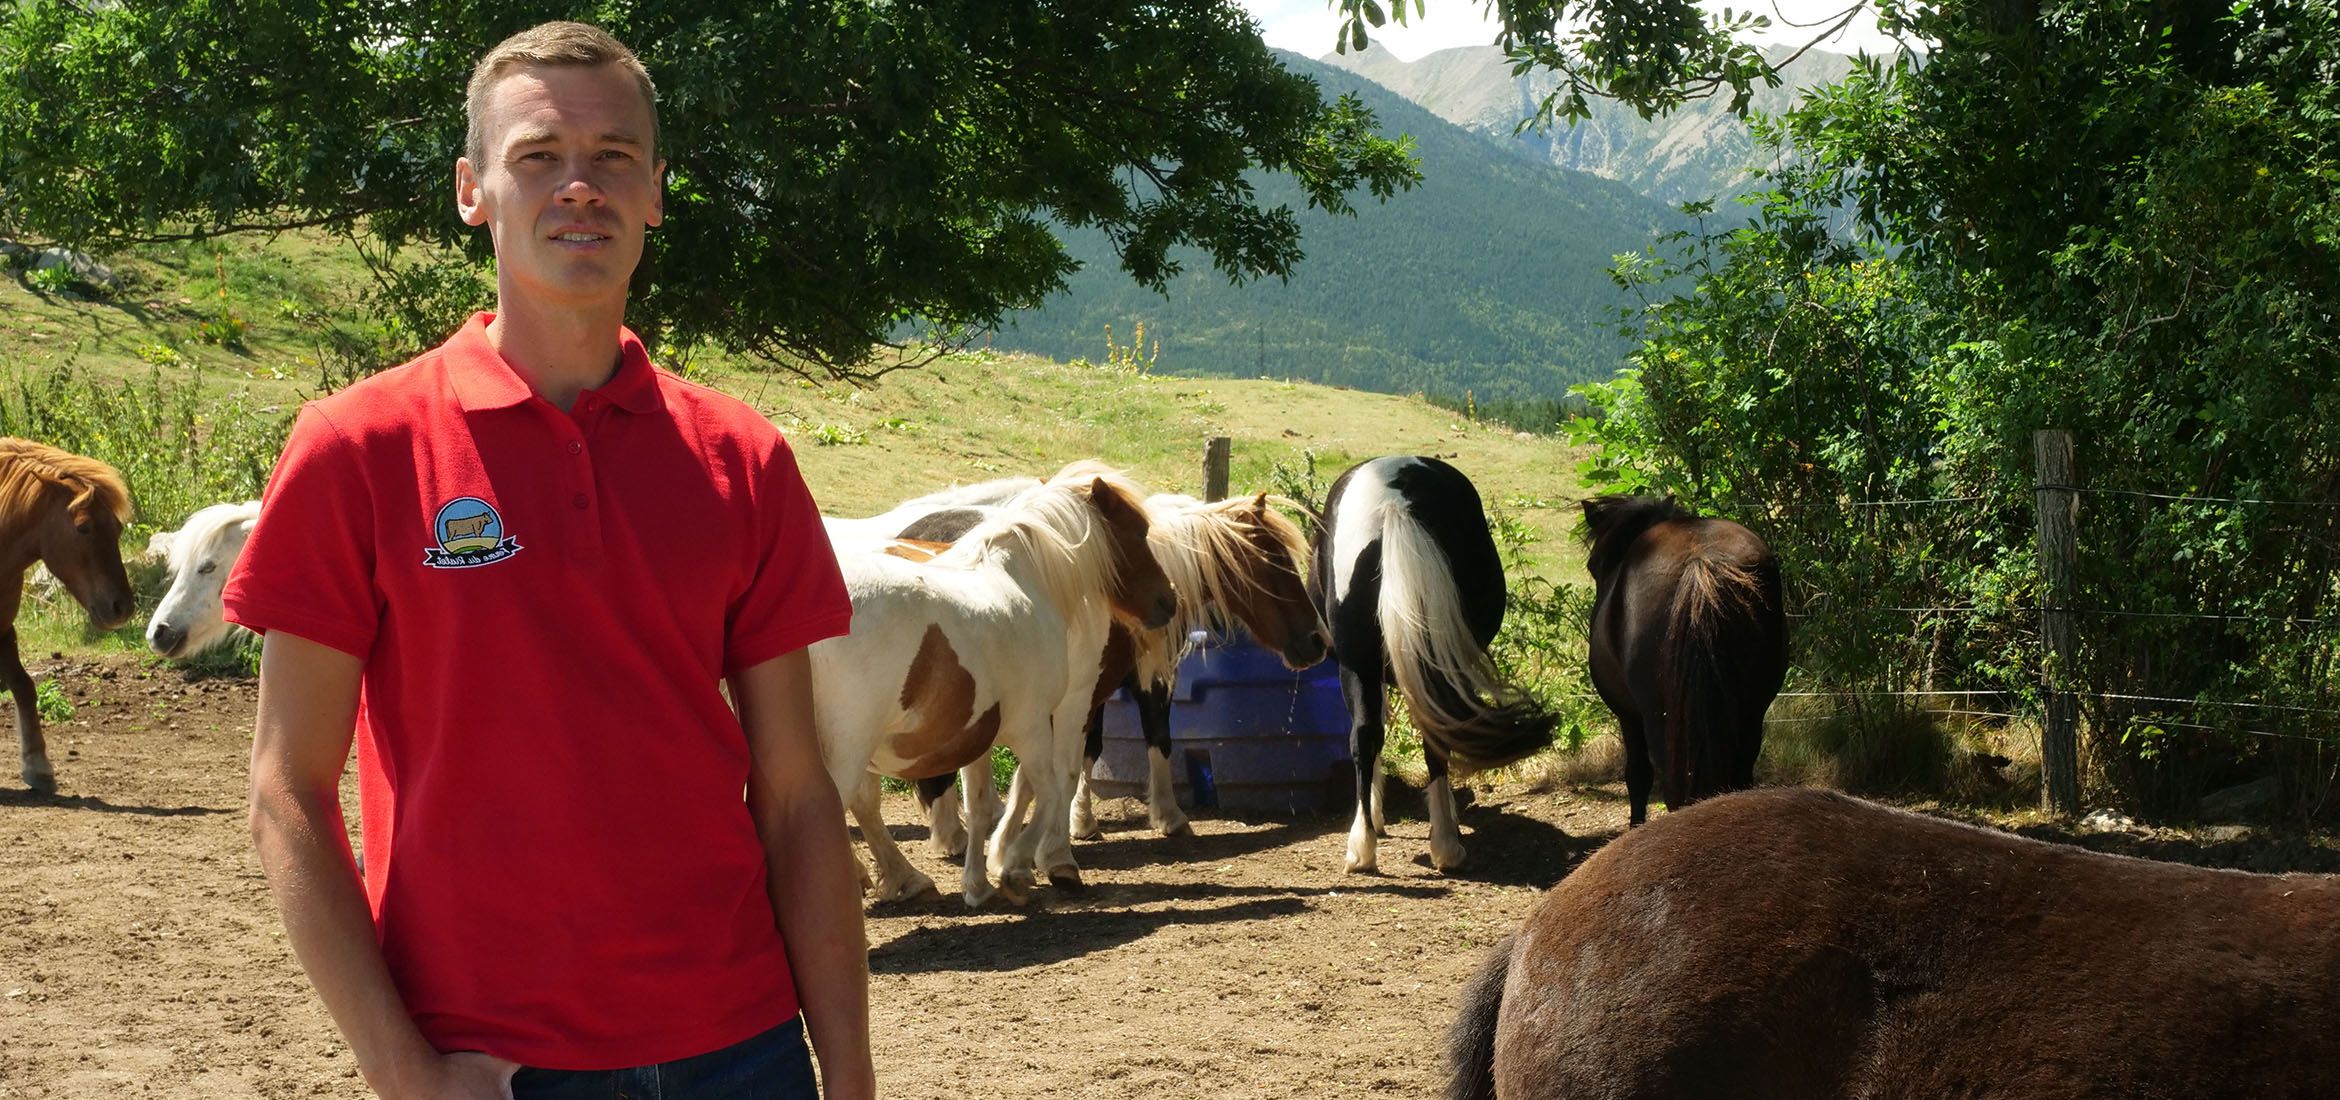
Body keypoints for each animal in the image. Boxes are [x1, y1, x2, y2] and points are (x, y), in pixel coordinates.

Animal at [0, 437, 135, 791]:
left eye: (117, 527)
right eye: (84, 527)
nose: (122, 607)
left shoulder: (3, 628)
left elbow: (23, 686)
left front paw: (38, 764)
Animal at [809, 472, 1179, 903]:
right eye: (1139, 532)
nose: (1168, 601)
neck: (1021, 581)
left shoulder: (976, 733)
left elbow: (982, 805)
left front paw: (979, 884)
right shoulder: (1034, 724)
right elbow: (1049, 790)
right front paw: (1014, 868)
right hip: (850, 751)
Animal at [1319, 451, 1553, 870]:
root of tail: (1394, 503)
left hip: (1359, 664)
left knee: (1369, 735)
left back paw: (1370, 847)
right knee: (1415, 735)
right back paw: (1439, 843)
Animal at [1581, 493, 1778, 819]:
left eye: (1593, 565)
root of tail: (1701, 561)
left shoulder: (1628, 716)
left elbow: (1637, 777)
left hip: (1661, 722)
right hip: (1752, 711)